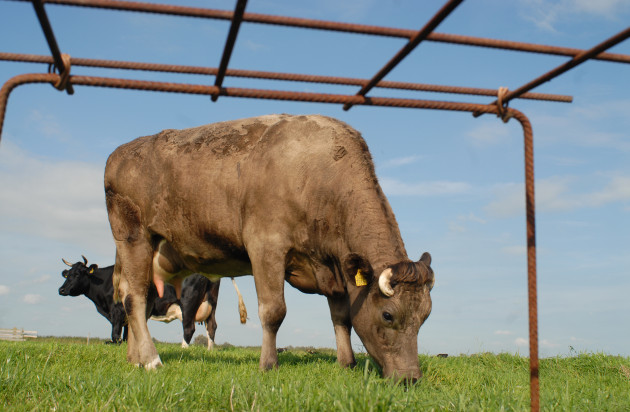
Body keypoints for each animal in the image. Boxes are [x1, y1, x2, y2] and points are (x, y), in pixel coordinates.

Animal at [106, 113, 436, 384]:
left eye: (425, 316)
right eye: (388, 315)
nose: (410, 378)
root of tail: (121, 152)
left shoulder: (334, 266)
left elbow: (342, 317)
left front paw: (347, 363)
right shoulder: (266, 247)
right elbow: (274, 311)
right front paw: (268, 365)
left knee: (140, 296)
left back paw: (134, 358)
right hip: (133, 236)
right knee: (134, 298)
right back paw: (151, 360)